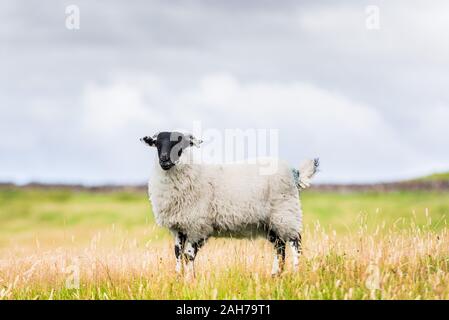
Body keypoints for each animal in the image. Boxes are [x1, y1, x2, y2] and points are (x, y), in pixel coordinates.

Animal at [141, 131, 318, 276]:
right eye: (157, 143)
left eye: (181, 143)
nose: (164, 159)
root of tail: (295, 173)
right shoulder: (178, 226)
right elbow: (178, 254)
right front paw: (179, 278)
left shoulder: (196, 226)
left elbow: (188, 255)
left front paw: (190, 280)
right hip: (271, 222)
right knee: (280, 247)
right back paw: (275, 274)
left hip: (286, 213)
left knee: (295, 242)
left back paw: (295, 273)